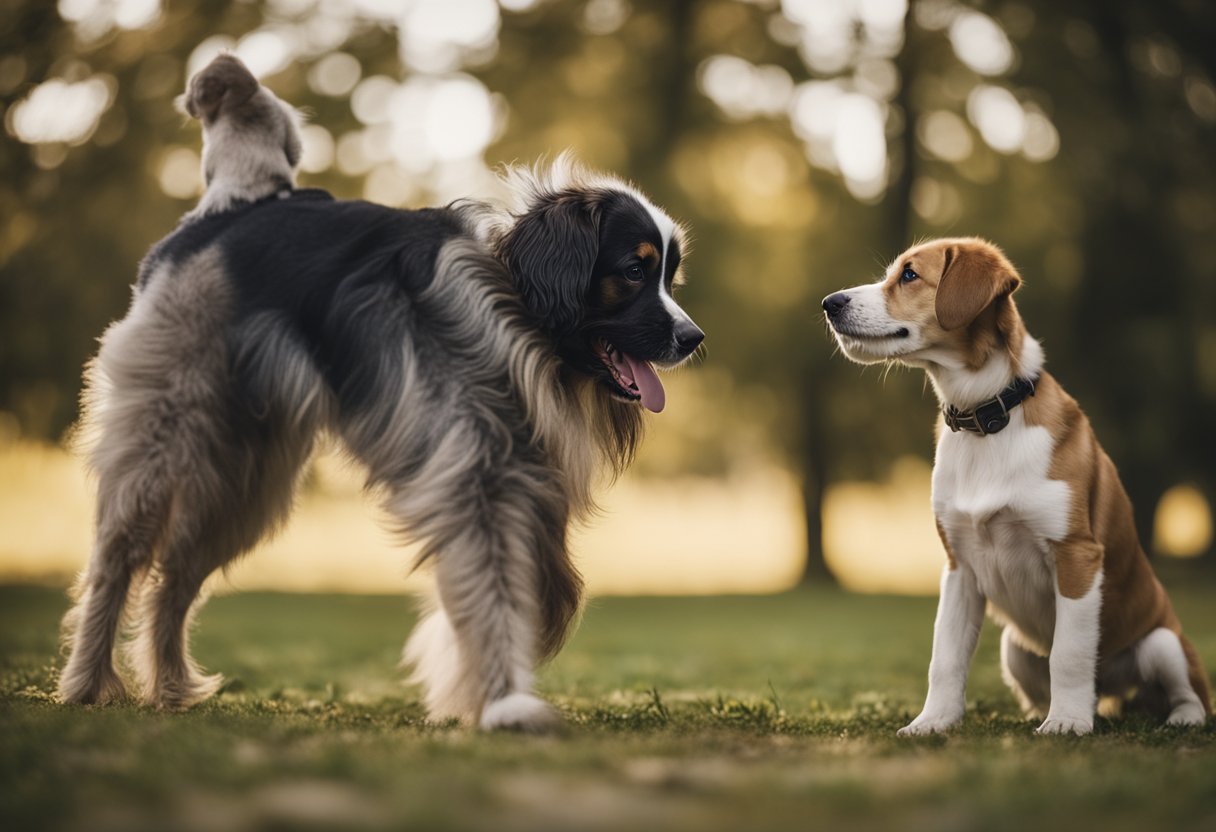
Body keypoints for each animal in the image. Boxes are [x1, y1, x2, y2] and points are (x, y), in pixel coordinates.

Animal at [822, 235, 1211, 734]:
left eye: (909, 275)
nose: (829, 303)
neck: (985, 418)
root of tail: (1112, 694)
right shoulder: (959, 568)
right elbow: (945, 657)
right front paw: (933, 721)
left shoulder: (1077, 556)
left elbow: (1069, 653)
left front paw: (1067, 723)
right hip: (1014, 647)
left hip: (1163, 642)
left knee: (1189, 694)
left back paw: (1175, 717)